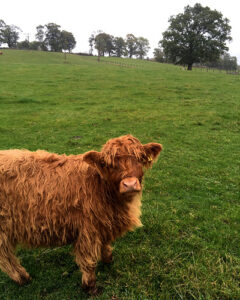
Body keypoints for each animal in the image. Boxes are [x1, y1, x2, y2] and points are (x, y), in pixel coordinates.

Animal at [0, 135, 162, 294]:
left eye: (140, 158)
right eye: (109, 164)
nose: (129, 184)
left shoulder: (103, 224)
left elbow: (105, 244)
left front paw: (108, 259)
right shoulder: (87, 230)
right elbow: (88, 260)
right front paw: (90, 286)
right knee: (5, 257)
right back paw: (22, 277)